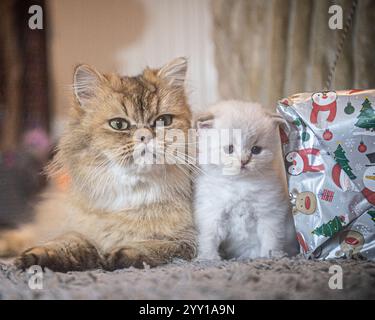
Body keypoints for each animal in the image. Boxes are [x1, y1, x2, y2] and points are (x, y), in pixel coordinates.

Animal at [0, 58, 198, 272]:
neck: (131, 195)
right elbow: (67, 241)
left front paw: (121, 255)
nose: (145, 137)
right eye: (119, 124)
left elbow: (155, 245)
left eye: (163, 121)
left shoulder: (188, 240)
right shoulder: (78, 227)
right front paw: (32, 259)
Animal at [195, 100, 298, 260]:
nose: (243, 161)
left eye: (256, 150)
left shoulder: (269, 214)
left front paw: (268, 256)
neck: (240, 184)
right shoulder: (213, 213)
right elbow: (209, 238)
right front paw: (208, 258)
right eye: (230, 149)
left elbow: (271, 238)